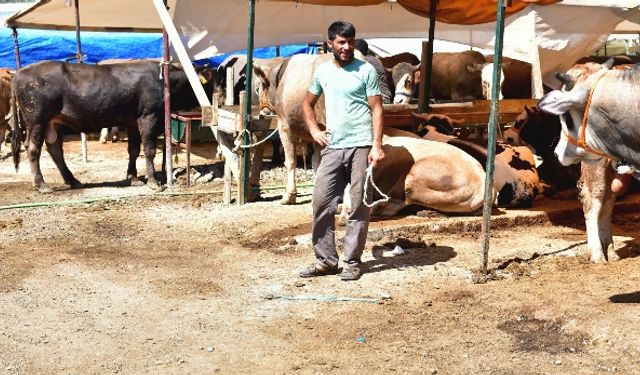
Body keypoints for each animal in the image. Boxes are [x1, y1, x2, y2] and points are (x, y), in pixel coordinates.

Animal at [11, 61, 214, 194]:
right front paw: (153, 182)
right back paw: (41, 185)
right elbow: (148, 151)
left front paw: (133, 178)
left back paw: (73, 181)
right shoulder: (149, 117)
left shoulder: (133, 122)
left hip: (55, 122)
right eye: (210, 82)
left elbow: (133, 150)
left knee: (55, 150)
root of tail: (18, 73)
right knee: (33, 149)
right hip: (37, 119)